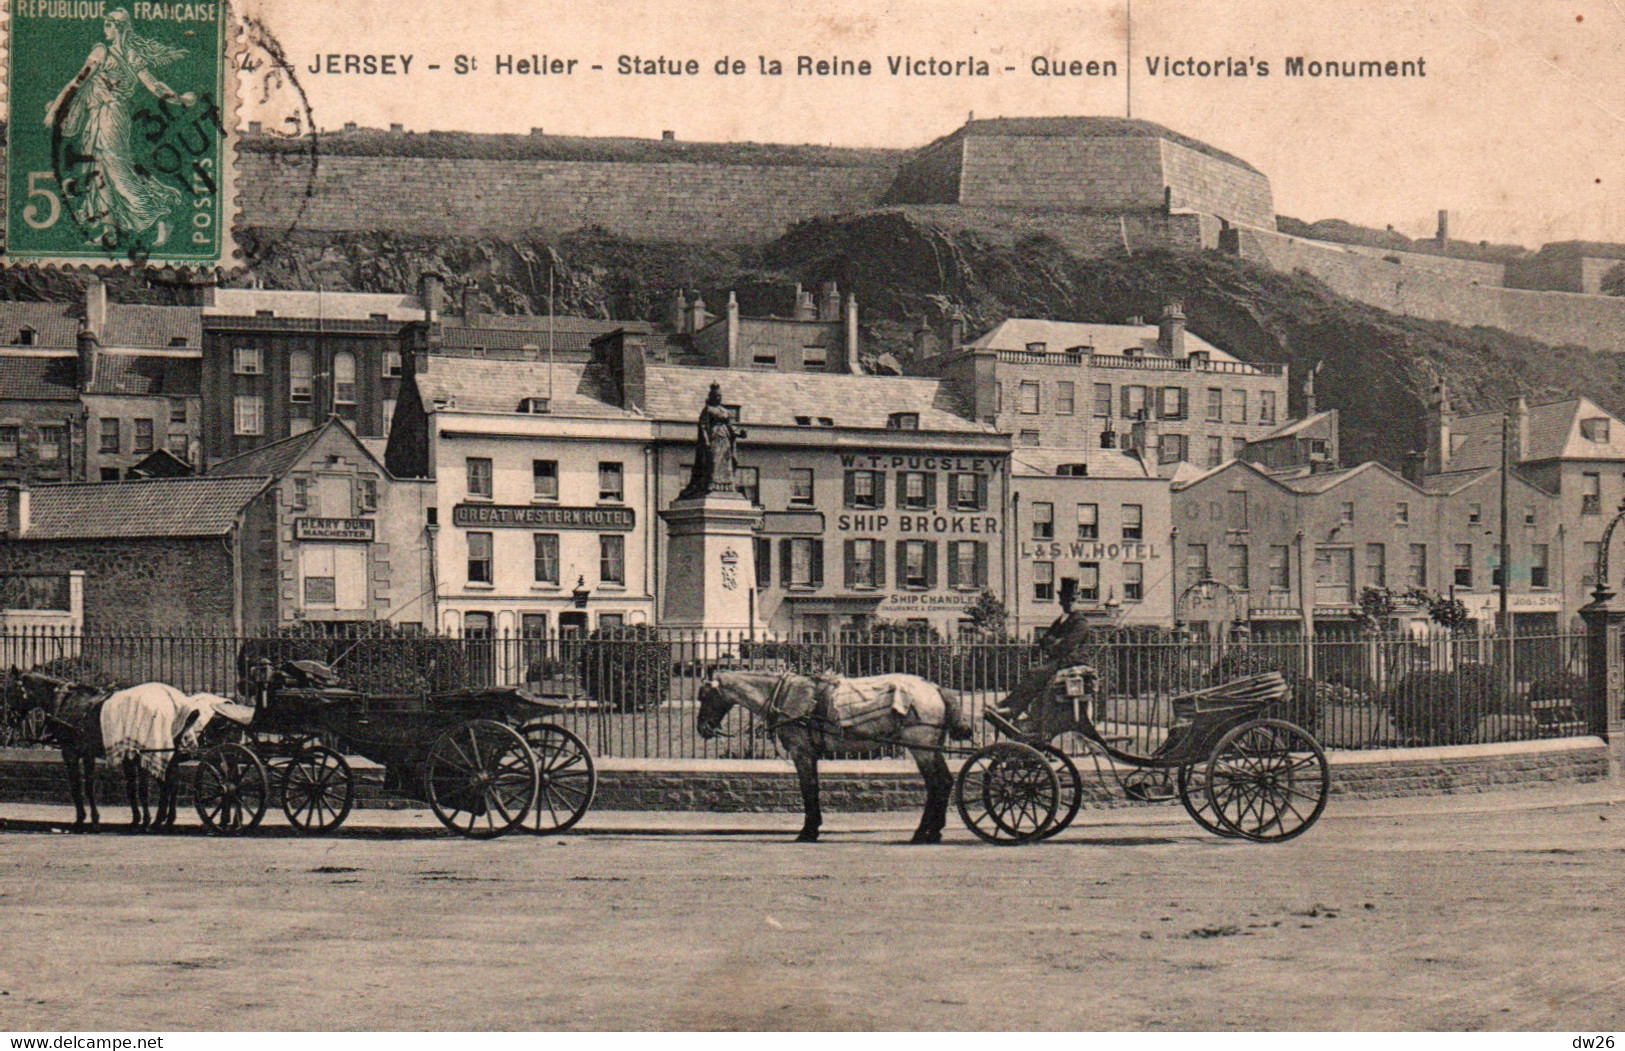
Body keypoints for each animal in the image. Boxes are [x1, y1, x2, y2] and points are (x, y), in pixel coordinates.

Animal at [2, 669, 184, 831]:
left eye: (11, 691)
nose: (10, 719)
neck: (65, 702)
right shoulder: (86, 753)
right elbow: (94, 785)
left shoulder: (74, 752)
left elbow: (80, 785)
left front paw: (86, 819)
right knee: (169, 781)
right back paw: (165, 819)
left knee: (166, 782)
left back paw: (158, 819)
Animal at [695, 675, 968, 844]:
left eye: (705, 697)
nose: (702, 728)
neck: (785, 696)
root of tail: (934, 688)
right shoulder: (810, 754)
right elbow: (813, 788)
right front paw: (814, 827)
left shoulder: (802, 753)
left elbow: (808, 789)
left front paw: (808, 830)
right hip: (930, 748)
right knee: (945, 782)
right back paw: (934, 831)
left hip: (921, 748)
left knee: (935, 785)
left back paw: (922, 832)